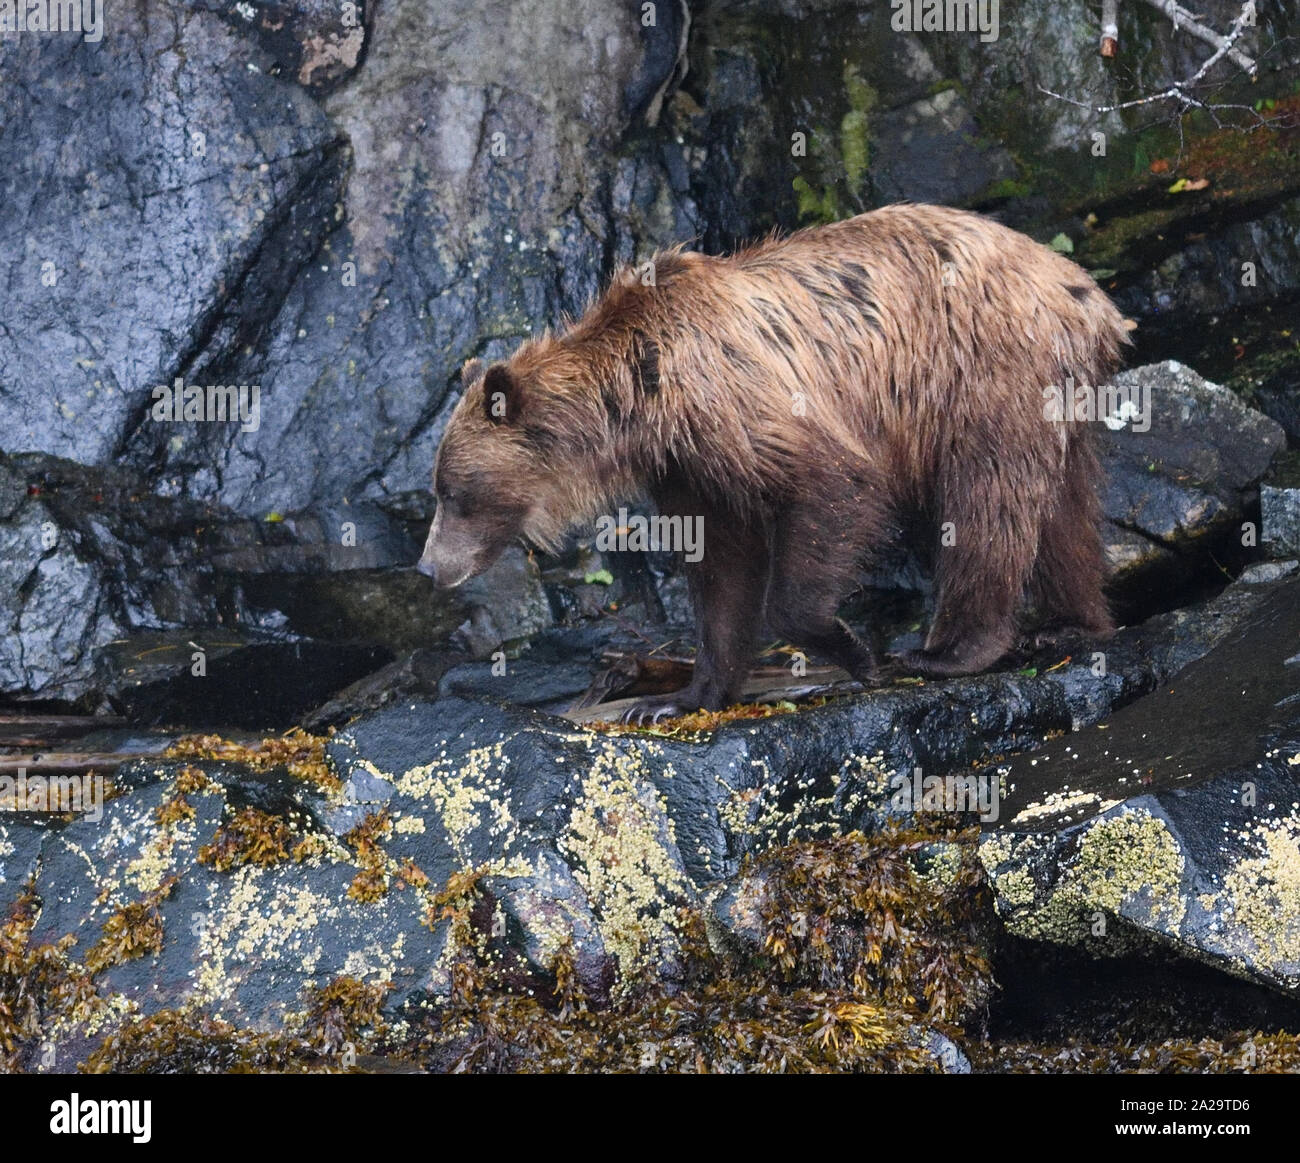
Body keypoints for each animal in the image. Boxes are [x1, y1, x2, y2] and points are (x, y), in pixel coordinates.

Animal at [418, 205, 1128, 722]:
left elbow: (830, 487)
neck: (641, 401)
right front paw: (675, 697)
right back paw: (1072, 623)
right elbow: (719, 563)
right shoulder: (688, 465)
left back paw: (949, 649)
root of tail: (1086, 291)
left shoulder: (739, 400)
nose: (428, 567)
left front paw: (851, 648)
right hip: (1052, 389)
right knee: (1063, 508)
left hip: (983, 368)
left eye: (453, 491)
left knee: (987, 498)